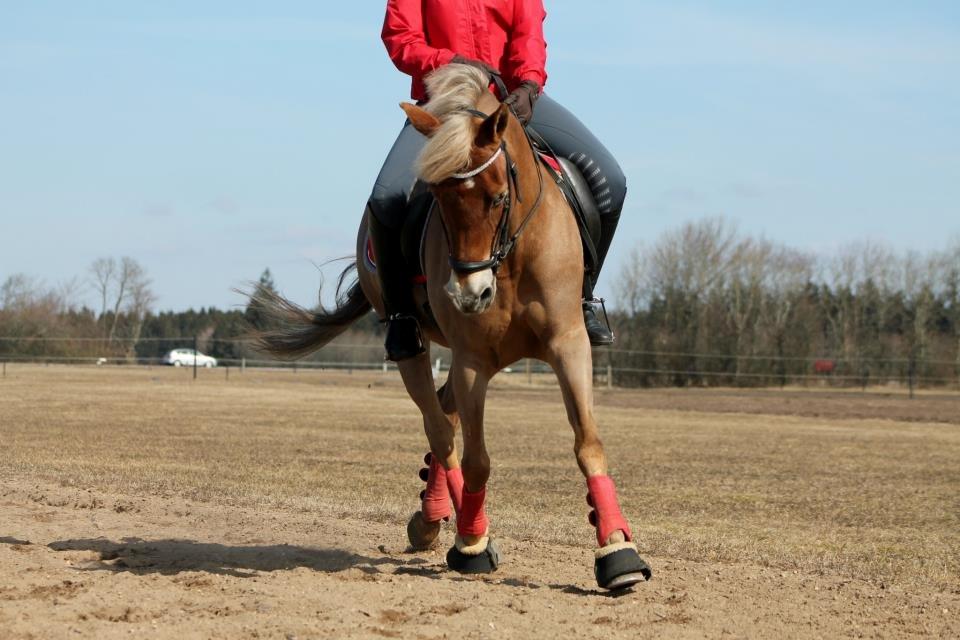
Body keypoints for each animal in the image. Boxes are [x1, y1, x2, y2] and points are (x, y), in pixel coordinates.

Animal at [251, 65, 648, 592]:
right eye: (435, 197)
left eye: (498, 196)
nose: (468, 295)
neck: (510, 258)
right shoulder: (472, 360)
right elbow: (477, 460)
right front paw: (472, 541)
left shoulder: (569, 346)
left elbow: (588, 443)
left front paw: (618, 549)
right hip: (415, 348)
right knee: (441, 429)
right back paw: (458, 527)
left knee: (446, 417)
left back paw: (434, 515)